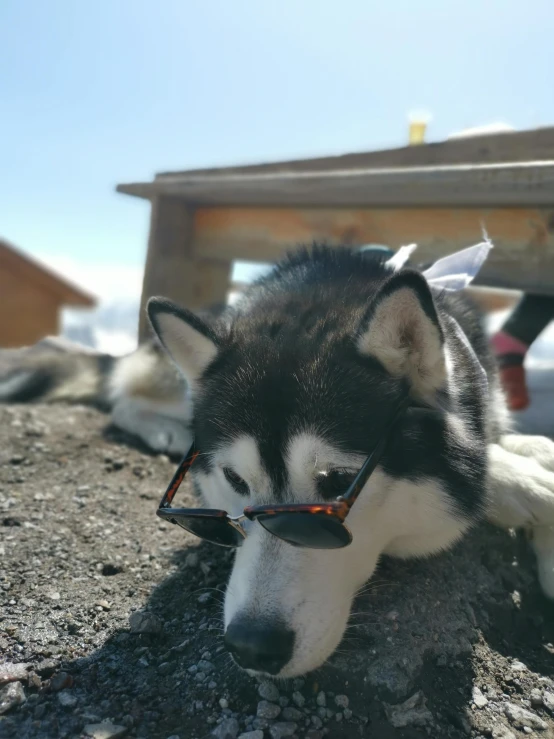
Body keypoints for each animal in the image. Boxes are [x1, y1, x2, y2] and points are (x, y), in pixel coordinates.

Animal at [3, 246, 552, 680]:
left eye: (338, 482)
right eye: (233, 478)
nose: (251, 647)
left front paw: (529, 467)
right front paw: (523, 483)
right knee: (123, 395)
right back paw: (166, 430)